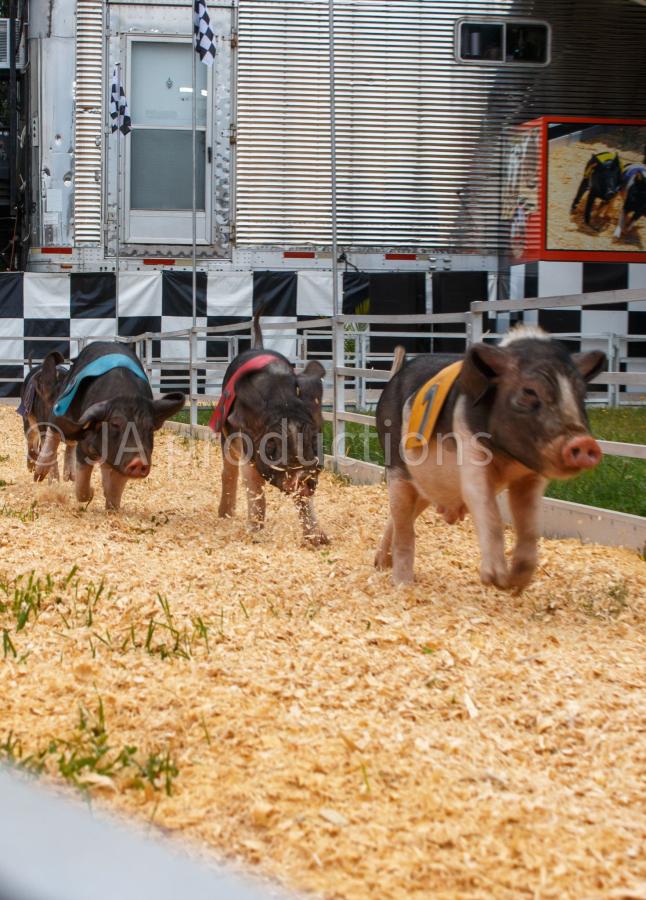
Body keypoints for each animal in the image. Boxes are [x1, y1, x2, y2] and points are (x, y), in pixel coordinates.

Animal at [17, 351, 75, 481]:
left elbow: (70, 450)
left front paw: (70, 478)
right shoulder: (44, 426)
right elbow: (49, 451)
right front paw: (53, 480)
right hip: (28, 421)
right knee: (32, 440)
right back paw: (31, 467)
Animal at [33, 341, 185, 510]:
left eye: (149, 427)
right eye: (115, 424)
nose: (139, 461)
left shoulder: (120, 460)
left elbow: (115, 485)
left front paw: (113, 508)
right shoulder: (86, 443)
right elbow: (82, 479)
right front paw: (91, 494)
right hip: (64, 403)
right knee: (55, 430)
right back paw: (38, 476)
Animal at [214, 312, 328, 545]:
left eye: (312, 439)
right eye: (271, 446)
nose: (301, 475)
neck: (282, 399)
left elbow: (305, 501)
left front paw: (320, 540)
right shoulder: (247, 447)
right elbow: (255, 489)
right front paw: (255, 535)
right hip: (226, 439)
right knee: (228, 472)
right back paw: (225, 515)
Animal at [375, 327, 606, 591]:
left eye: (582, 395)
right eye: (529, 391)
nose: (584, 442)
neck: (508, 459)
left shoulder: (531, 476)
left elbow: (529, 523)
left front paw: (515, 583)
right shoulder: (471, 454)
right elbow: (489, 510)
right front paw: (493, 578)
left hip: (426, 486)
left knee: (398, 519)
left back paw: (381, 563)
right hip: (397, 469)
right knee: (404, 527)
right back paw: (402, 584)